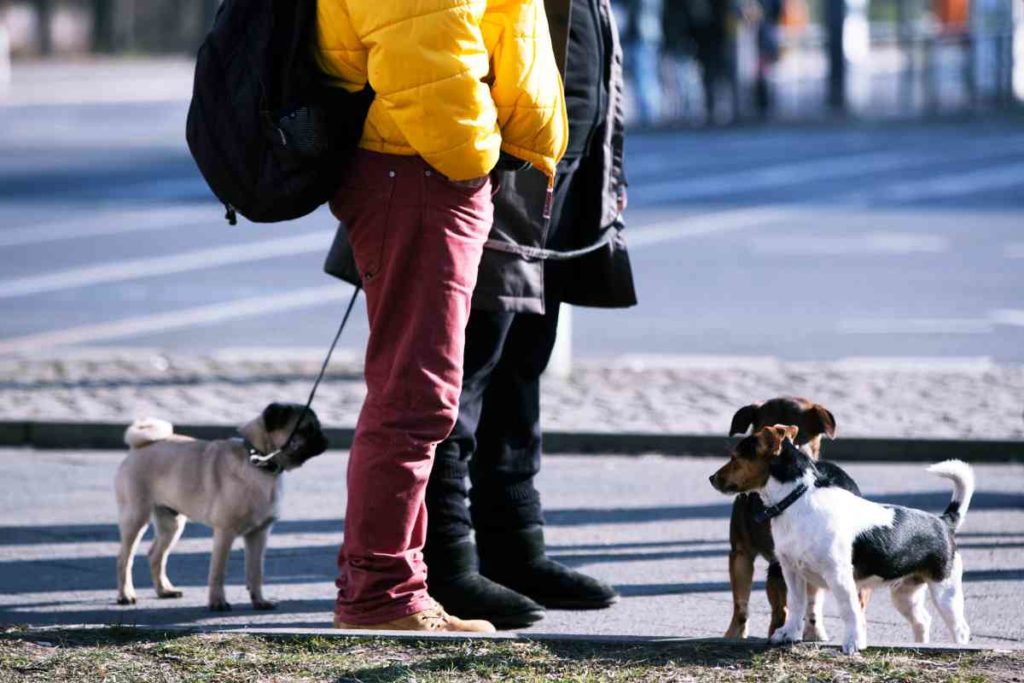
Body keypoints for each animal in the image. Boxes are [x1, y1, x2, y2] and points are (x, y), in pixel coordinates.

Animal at [117, 403, 329, 610]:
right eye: (307, 429)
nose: (323, 438)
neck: (258, 462)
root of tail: (139, 446)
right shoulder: (225, 532)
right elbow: (218, 572)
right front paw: (217, 602)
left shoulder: (258, 534)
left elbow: (256, 571)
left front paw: (259, 600)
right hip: (136, 517)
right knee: (125, 559)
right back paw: (125, 595)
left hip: (172, 524)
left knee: (156, 556)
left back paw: (164, 590)